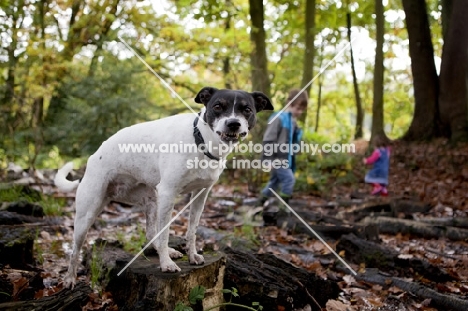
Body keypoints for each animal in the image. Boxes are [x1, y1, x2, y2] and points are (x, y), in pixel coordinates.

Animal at [54, 86, 274, 288]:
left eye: (247, 109)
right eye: (218, 106)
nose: (233, 123)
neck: (200, 141)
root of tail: (93, 156)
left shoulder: (200, 194)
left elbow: (192, 229)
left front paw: (191, 255)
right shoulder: (169, 193)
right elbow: (166, 233)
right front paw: (166, 264)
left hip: (152, 199)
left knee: (152, 233)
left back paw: (168, 251)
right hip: (88, 213)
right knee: (75, 249)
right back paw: (70, 279)